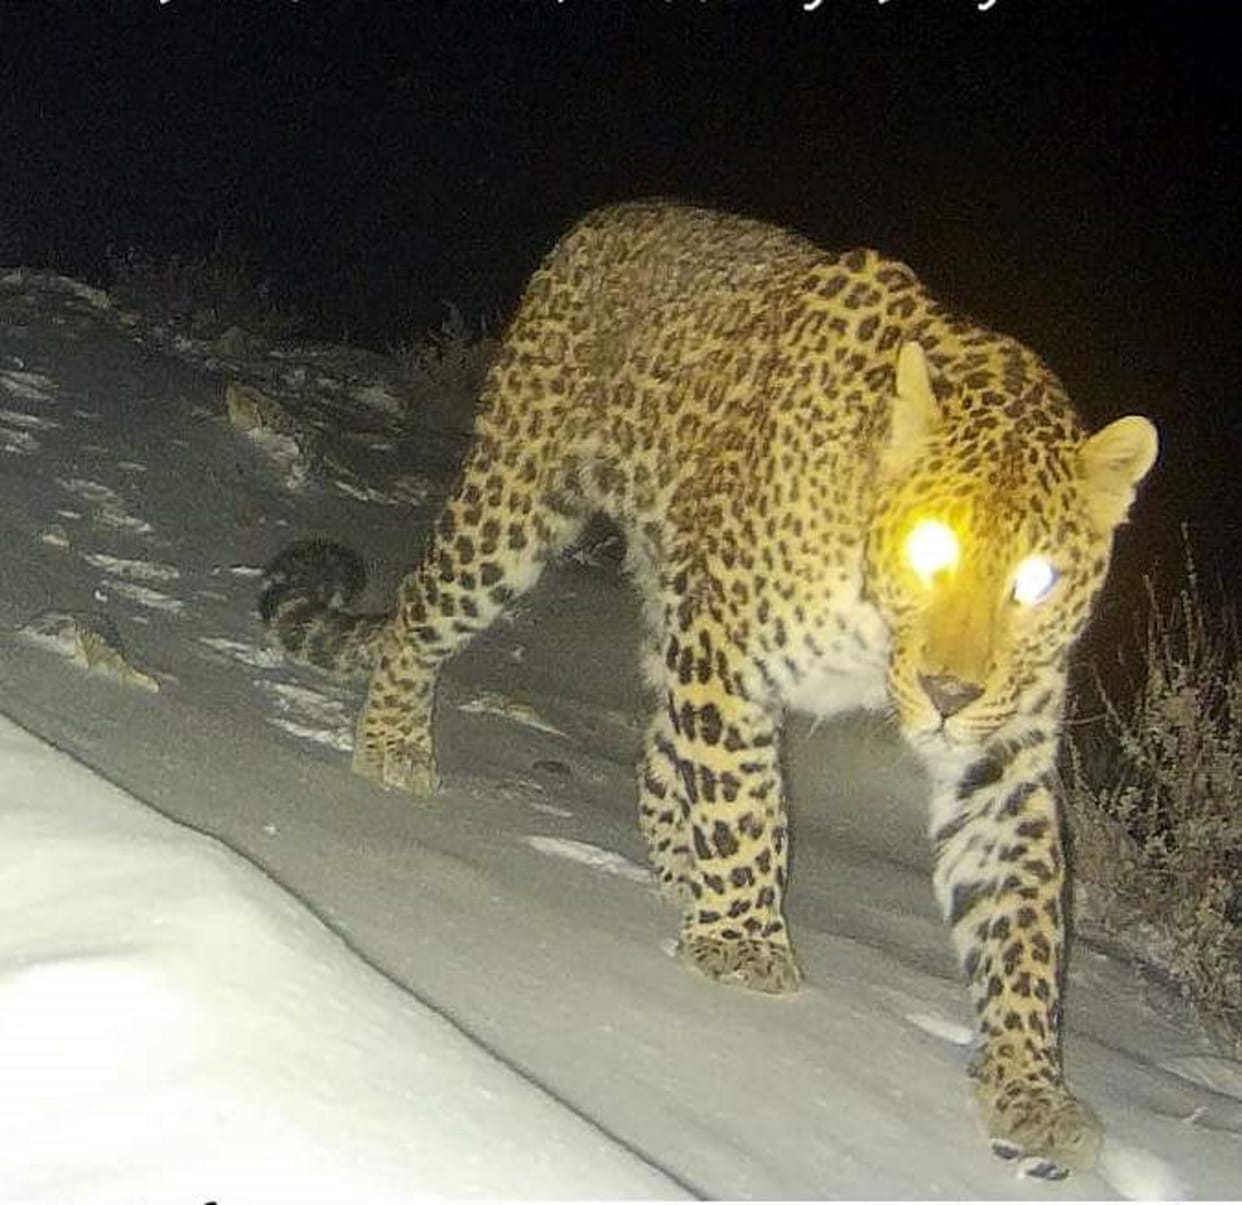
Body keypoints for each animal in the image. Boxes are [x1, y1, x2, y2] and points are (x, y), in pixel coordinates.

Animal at [260, 201, 1158, 1178]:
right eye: (931, 546)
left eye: (1036, 579)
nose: (948, 691)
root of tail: (603, 220)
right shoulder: (725, 649)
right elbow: (743, 802)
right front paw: (744, 945)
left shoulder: (1000, 758)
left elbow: (1023, 923)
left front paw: (1032, 1089)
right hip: (514, 511)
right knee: (422, 611)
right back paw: (393, 743)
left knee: (658, 750)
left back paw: (674, 867)